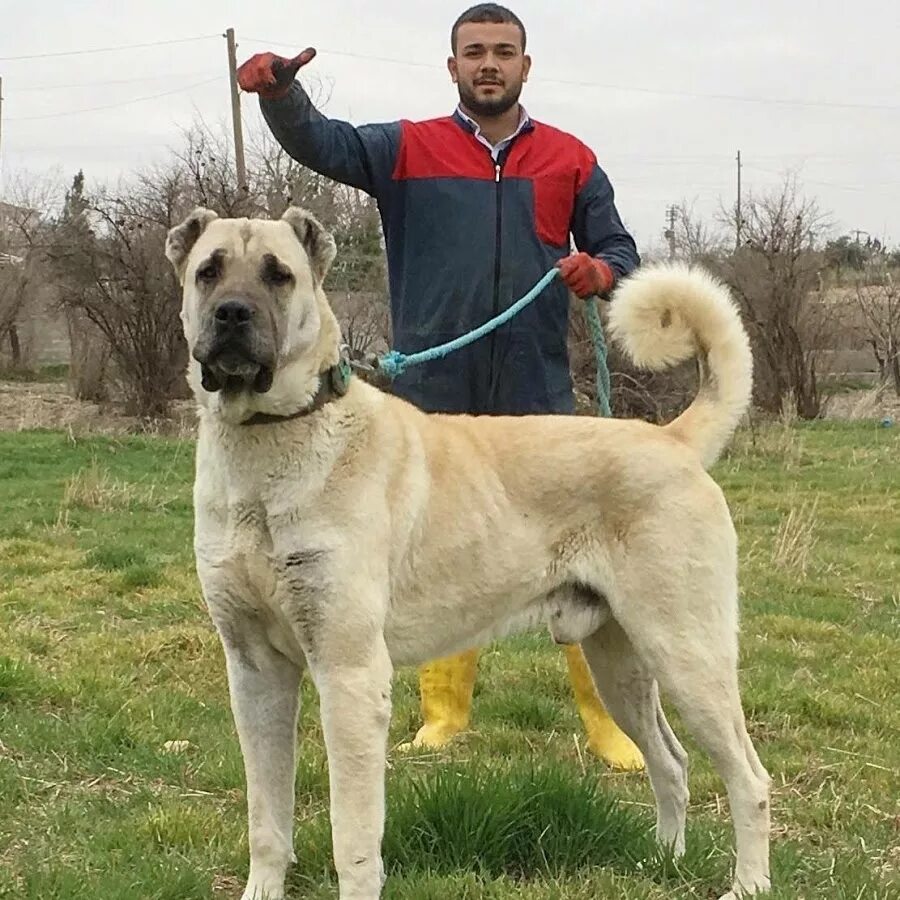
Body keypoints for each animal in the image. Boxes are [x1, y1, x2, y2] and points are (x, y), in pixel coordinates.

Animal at [165, 206, 768, 900]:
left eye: (278, 275)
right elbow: (267, 817)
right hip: (620, 660)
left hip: (688, 655)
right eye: (209, 271)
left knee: (750, 780)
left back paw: (747, 885)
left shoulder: (349, 675)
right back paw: (662, 862)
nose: (233, 314)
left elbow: (353, 836)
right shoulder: (255, 673)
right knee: (671, 760)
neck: (268, 445)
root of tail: (672, 441)